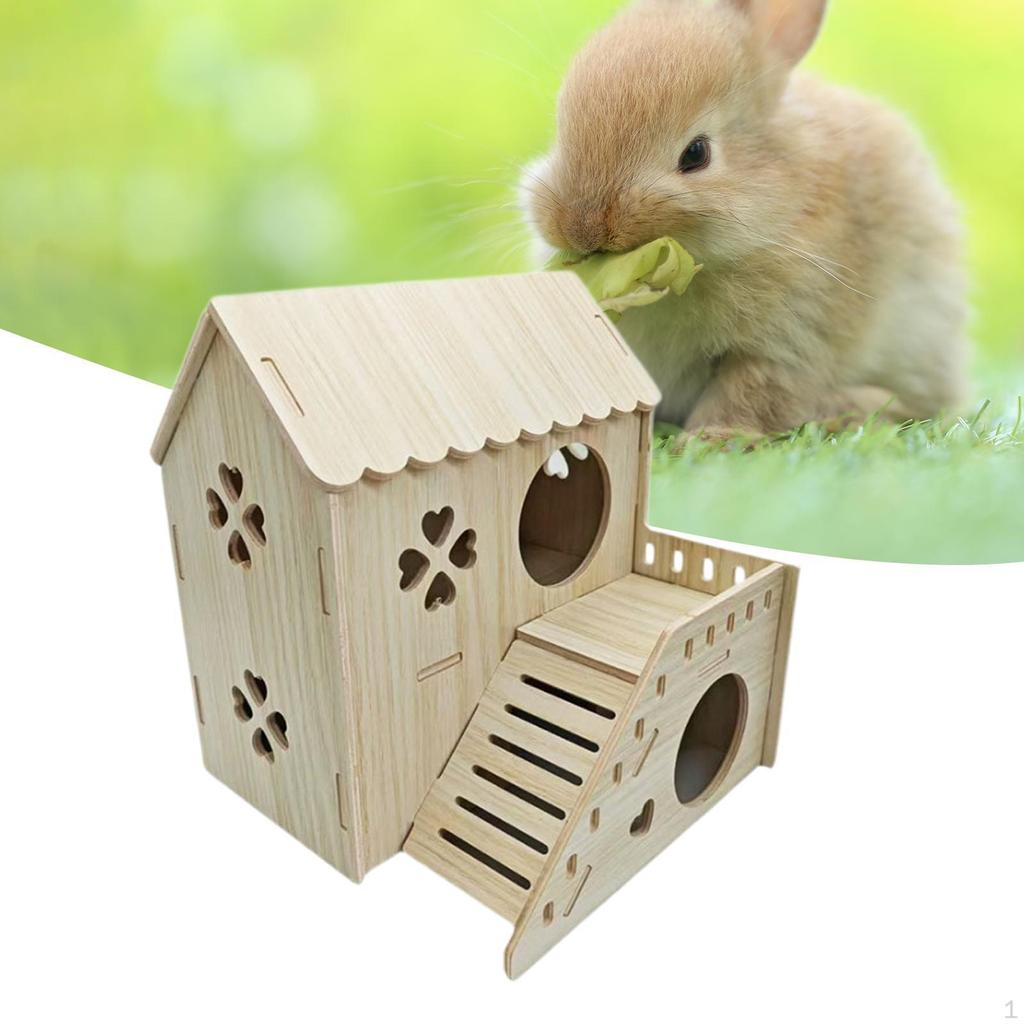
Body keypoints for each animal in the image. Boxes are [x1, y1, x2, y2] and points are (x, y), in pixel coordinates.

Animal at [521, 0, 970, 433]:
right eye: (562, 136)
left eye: (696, 153)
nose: (581, 227)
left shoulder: (789, 338)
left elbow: (751, 391)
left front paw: (711, 438)